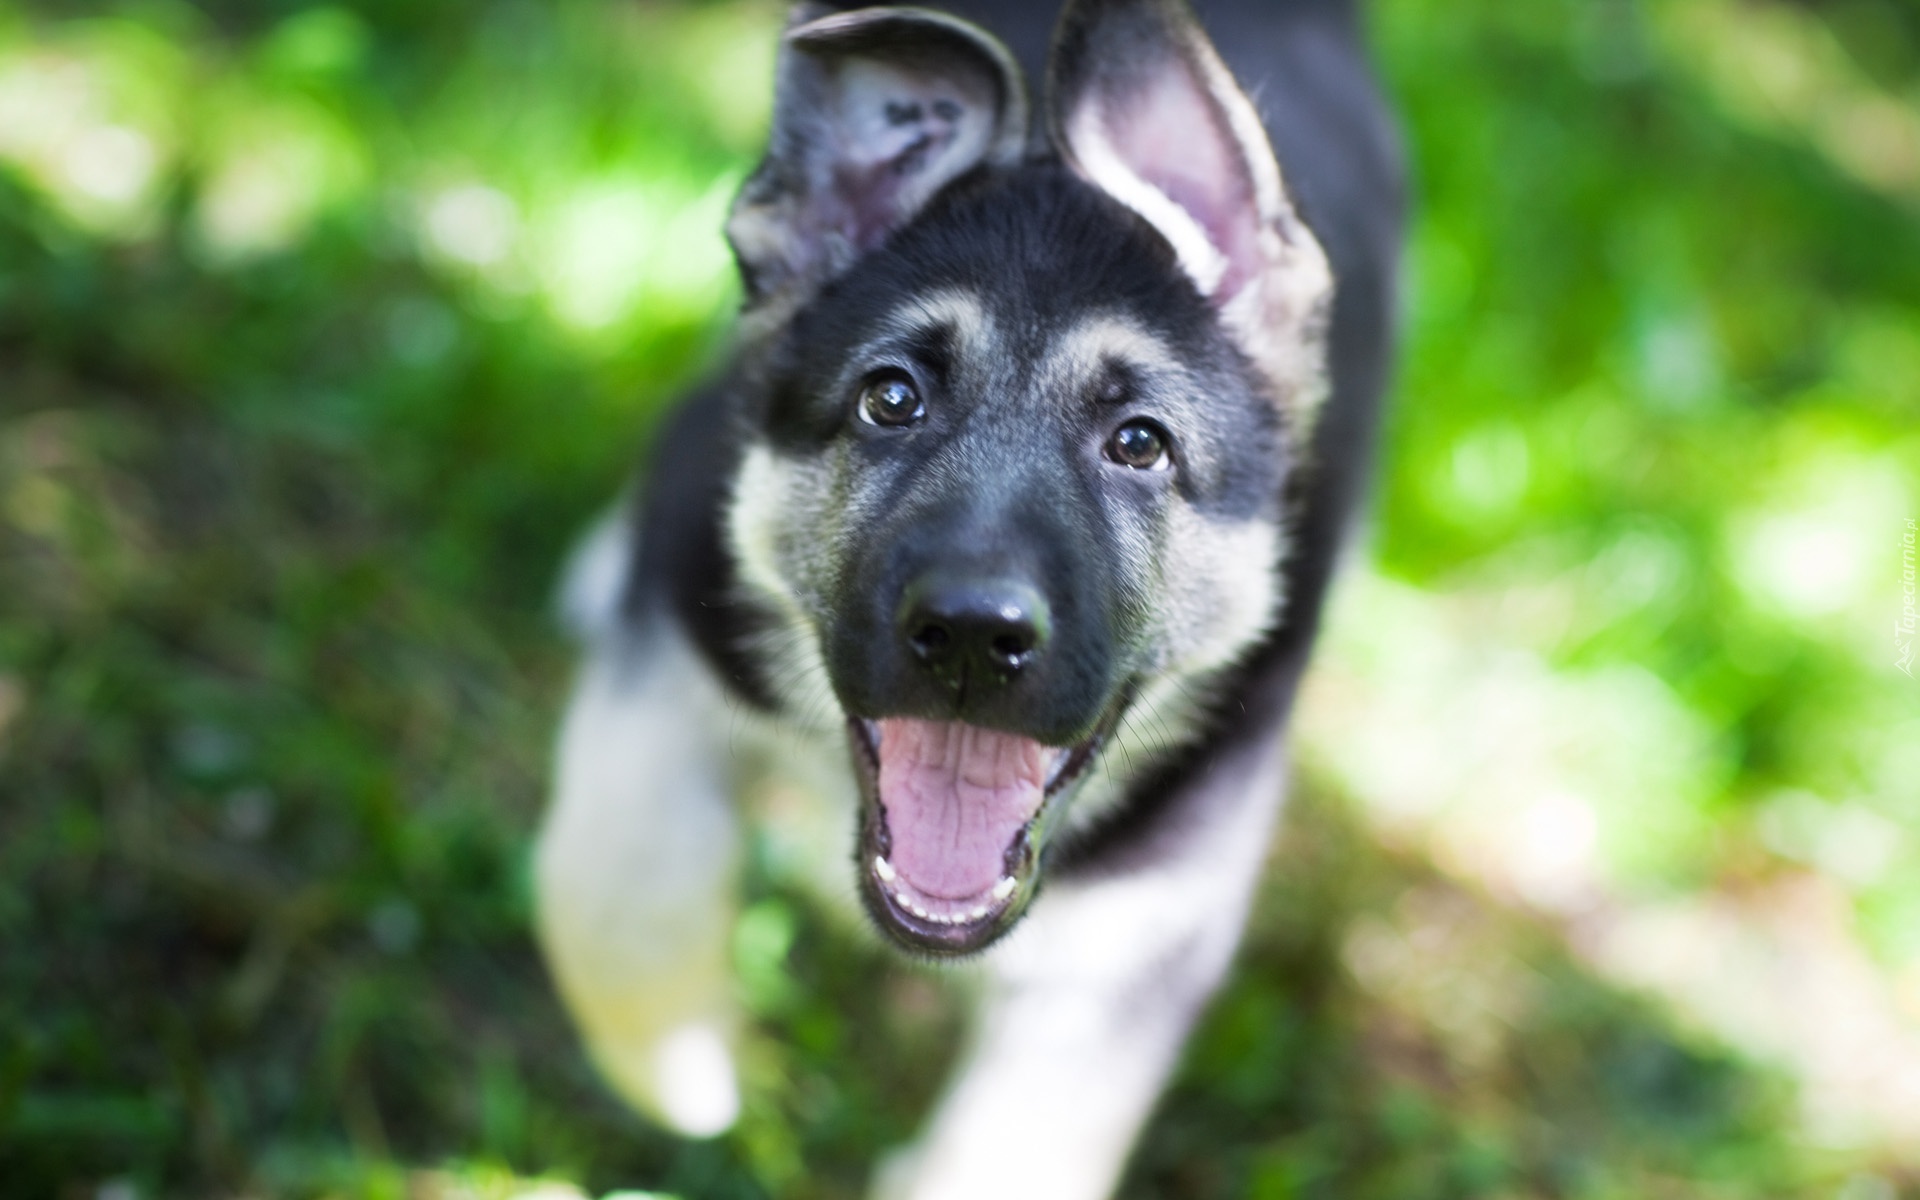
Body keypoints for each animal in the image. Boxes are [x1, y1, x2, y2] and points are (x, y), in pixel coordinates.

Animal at [533, 2, 1405, 1190]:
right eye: (891, 398)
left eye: (1141, 444)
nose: (969, 638)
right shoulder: (671, 634)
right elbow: (615, 878)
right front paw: (680, 1068)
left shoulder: (1141, 926)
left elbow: (1014, 1151)